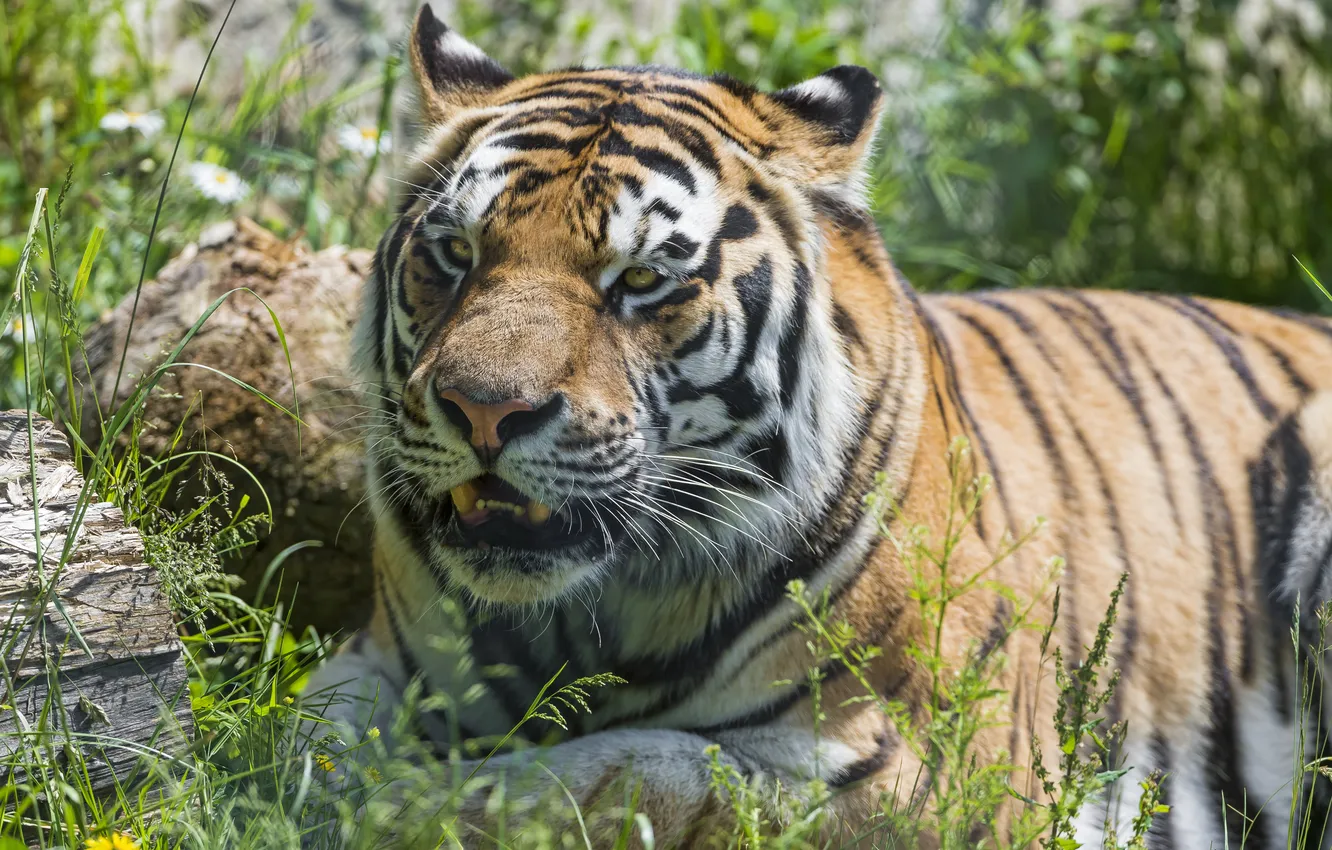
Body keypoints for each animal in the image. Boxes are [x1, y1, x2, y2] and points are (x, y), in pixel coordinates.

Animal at [305, 3, 1332, 847]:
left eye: (640, 279)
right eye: (455, 252)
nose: (484, 410)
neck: (585, 616)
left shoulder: (923, 772)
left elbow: (631, 773)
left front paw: (416, 807)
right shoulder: (380, 659)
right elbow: (308, 737)